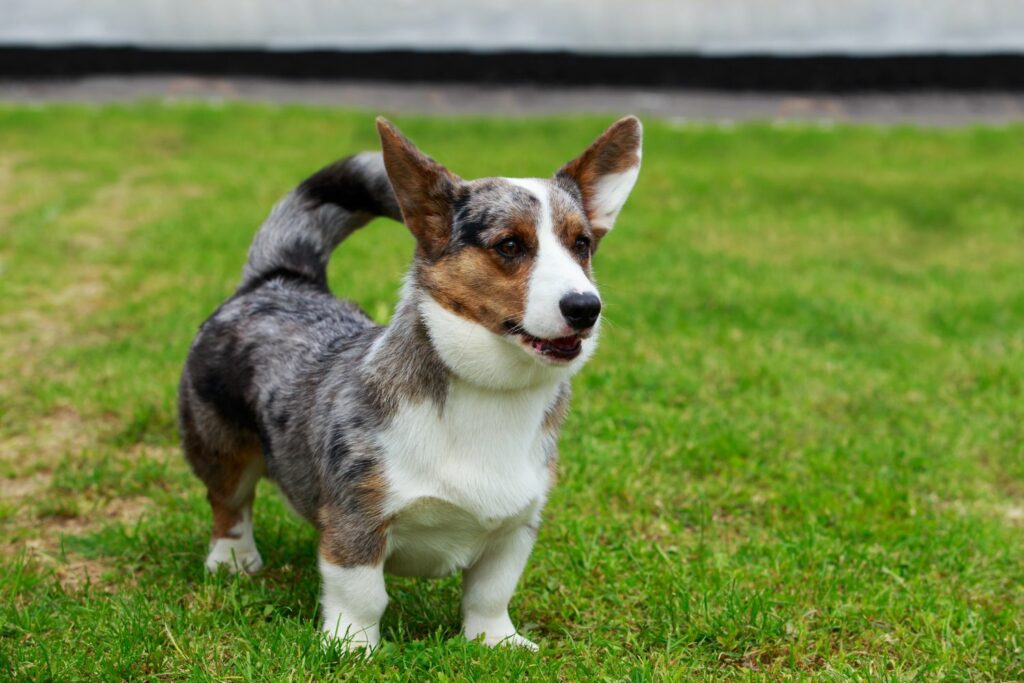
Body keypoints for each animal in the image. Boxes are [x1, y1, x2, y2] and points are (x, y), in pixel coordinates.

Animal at [176, 116, 638, 651]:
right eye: (509, 245)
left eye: (581, 244)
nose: (586, 308)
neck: (491, 394)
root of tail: (277, 279)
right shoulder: (356, 520)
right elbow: (362, 595)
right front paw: (352, 647)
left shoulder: (516, 527)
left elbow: (490, 593)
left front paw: (496, 642)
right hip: (220, 444)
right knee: (229, 501)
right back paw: (232, 560)